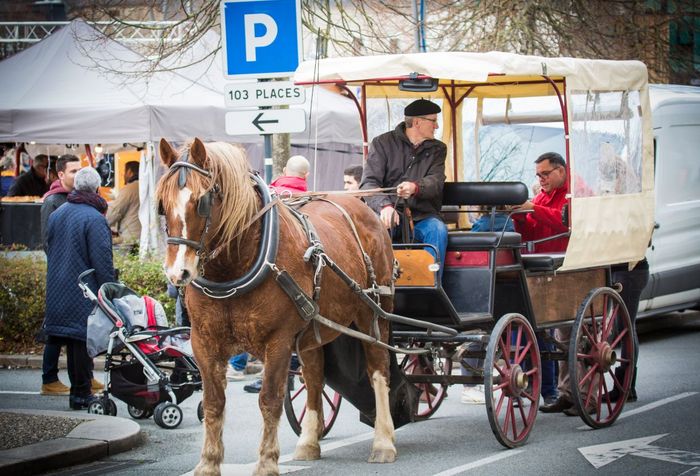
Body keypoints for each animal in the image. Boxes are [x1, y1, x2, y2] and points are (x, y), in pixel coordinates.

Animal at [159, 139, 400, 476]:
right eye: (161, 204)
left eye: (202, 201)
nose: (177, 273)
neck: (234, 268)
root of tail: (364, 210)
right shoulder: (203, 342)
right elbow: (213, 403)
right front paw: (207, 463)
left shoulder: (279, 341)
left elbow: (270, 400)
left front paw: (266, 462)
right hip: (315, 327)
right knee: (314, 375)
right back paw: (309, 442)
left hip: (373, 314)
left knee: (378, 370)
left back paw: (383, 442)